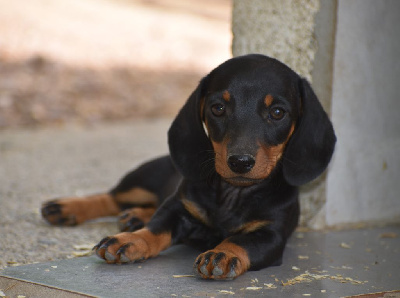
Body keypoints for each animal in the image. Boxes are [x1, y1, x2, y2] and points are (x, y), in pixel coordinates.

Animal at [41, 54, 334, 280]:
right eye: (218, 108)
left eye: (277, 113)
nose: (240, 162)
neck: (233, 193)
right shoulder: (178, 208)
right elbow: (156, 229)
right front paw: (131, 240)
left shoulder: (271, 235)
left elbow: (240, 240)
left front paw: (223, 253)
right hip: (141, 180)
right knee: (112, 196)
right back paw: (66, 208)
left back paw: (134, 215)